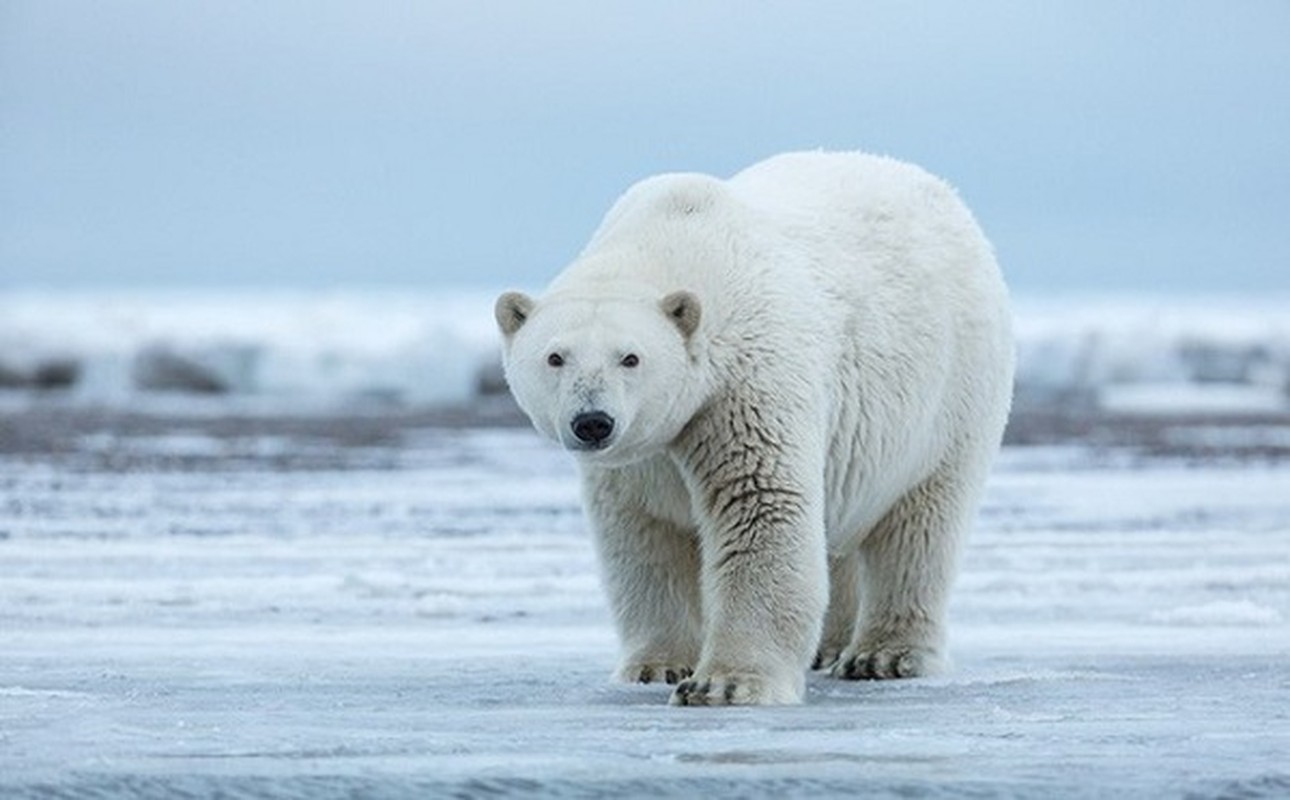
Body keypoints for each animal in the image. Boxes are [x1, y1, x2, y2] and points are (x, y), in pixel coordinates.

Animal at [497, 149, 1011, 707]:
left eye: (630, 357)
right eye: (555, 357)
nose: (593, 422)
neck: (677, 236)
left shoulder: (744, 383)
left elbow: (760, 503)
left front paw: (724, 683)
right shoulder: (642, 456)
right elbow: (644, 535)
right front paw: (657, 666)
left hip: (949, 395)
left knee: (921, 526)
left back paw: (885, 655)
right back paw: (829, 647)